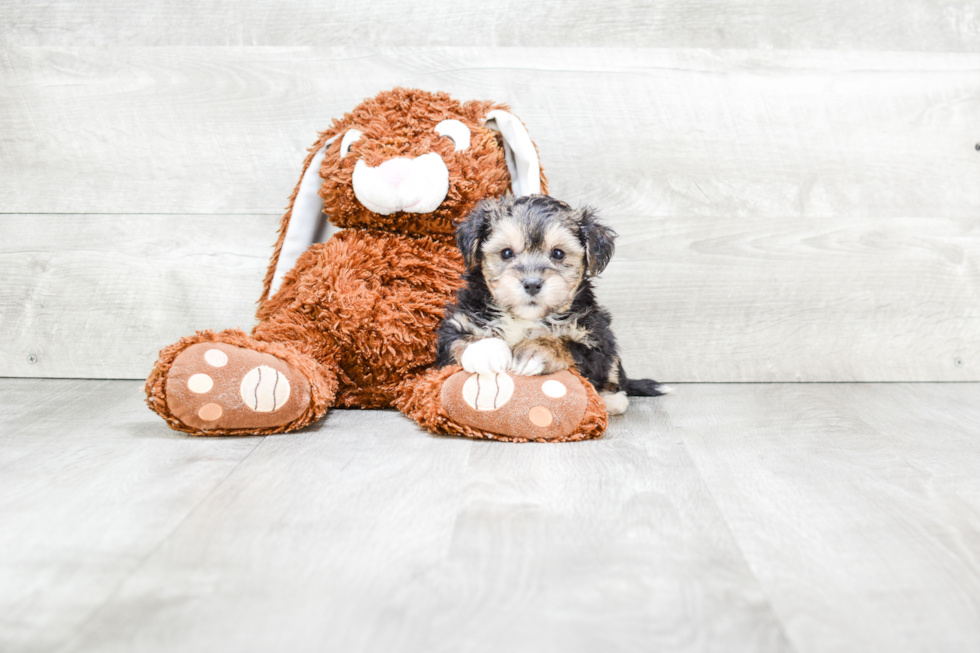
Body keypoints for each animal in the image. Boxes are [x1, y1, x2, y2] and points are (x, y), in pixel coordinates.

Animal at [436, 195, 668, 418]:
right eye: (506, 253)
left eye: (558, 254)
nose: (532, 283)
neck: (524, 318)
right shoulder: (457, 325)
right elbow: (456, 340)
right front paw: (486, 351)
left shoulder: (594, 335)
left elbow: (568, 345)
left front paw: (537, 351)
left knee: (612, 371)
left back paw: (611, 400)